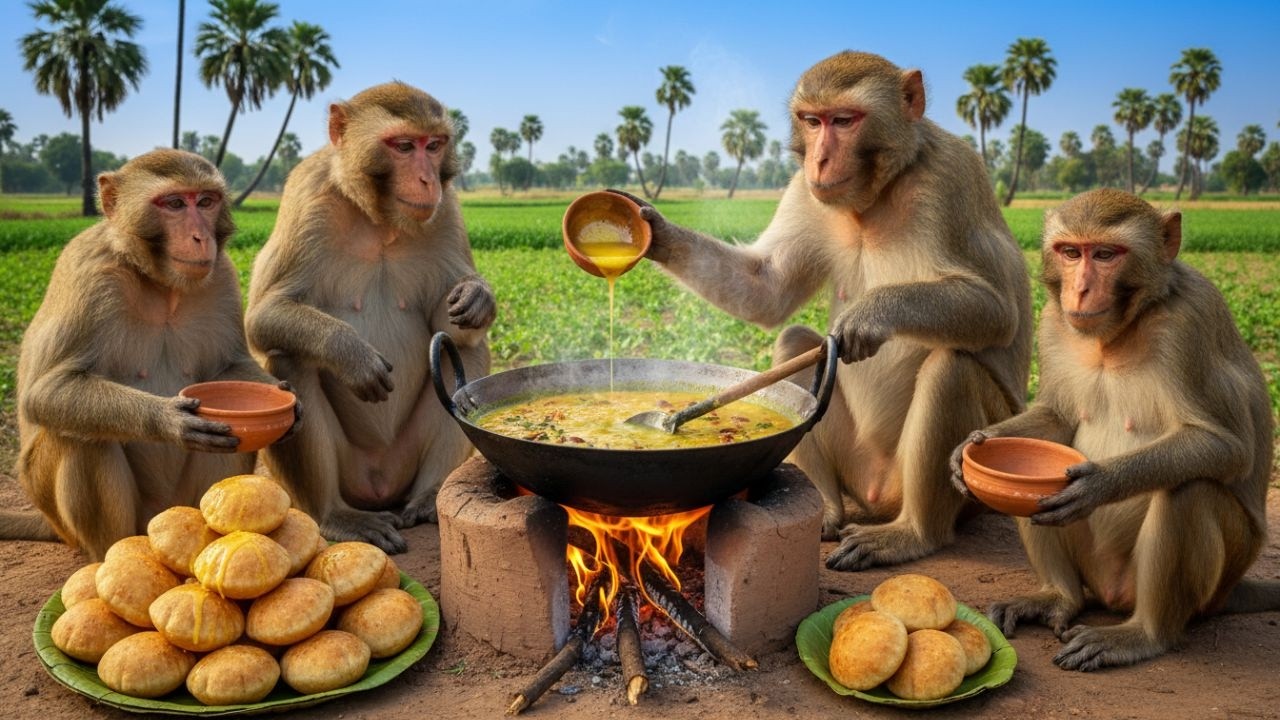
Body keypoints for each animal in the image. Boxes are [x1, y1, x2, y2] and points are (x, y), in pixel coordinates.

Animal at [2, 149, 292, 561]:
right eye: (174, 204)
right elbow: (47, 390)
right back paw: (109, 555)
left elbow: (230, 366)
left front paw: (286, 398)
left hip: (181, 501)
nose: (200, 237)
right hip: (66, 511)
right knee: (80, 435)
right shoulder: (89, 270)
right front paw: (168, 418)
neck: (159, 282)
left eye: (205, 201)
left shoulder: (221, 273)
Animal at [246, 81, 494, 554]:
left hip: (404, 463)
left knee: (466, 352)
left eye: (434, 145)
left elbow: (450, 323)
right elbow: (262, 316)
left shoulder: (446, 210)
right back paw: (336, 516)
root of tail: (380, 486)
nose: (427, 179)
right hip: (352, 473)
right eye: (403, 146)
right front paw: (351, 355)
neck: (379, 219)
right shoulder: (308, 195)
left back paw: (429, 496)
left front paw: (478, 298)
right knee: (290, 361)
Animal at [623, 51, 1032, 570]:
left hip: (961, 473)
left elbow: (996, 309)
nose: (819, 158)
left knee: (951, 368)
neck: (876, 196)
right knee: (798, 344)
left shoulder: (950, 177)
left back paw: (913, 534)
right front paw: (654, 231)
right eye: (812, 121)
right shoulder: (805, 189)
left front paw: (868, 316)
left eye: (844, 121)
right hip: (855, 464)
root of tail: (876, 496)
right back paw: (827, 510)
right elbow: (767, 289)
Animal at [949, 188, 1279, 670]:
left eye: (1106, 254)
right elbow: (1056, 419)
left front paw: (1097, 485)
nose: (1081, 289)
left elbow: (1226, 446)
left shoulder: (1192, 320)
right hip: (1091, 566)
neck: (1117, 333)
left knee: (1188, 489)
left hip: (1206, 584)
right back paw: (1058, 597)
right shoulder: (1054, 321)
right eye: (1070, 252)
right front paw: (967, 450)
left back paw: (1144, 634)